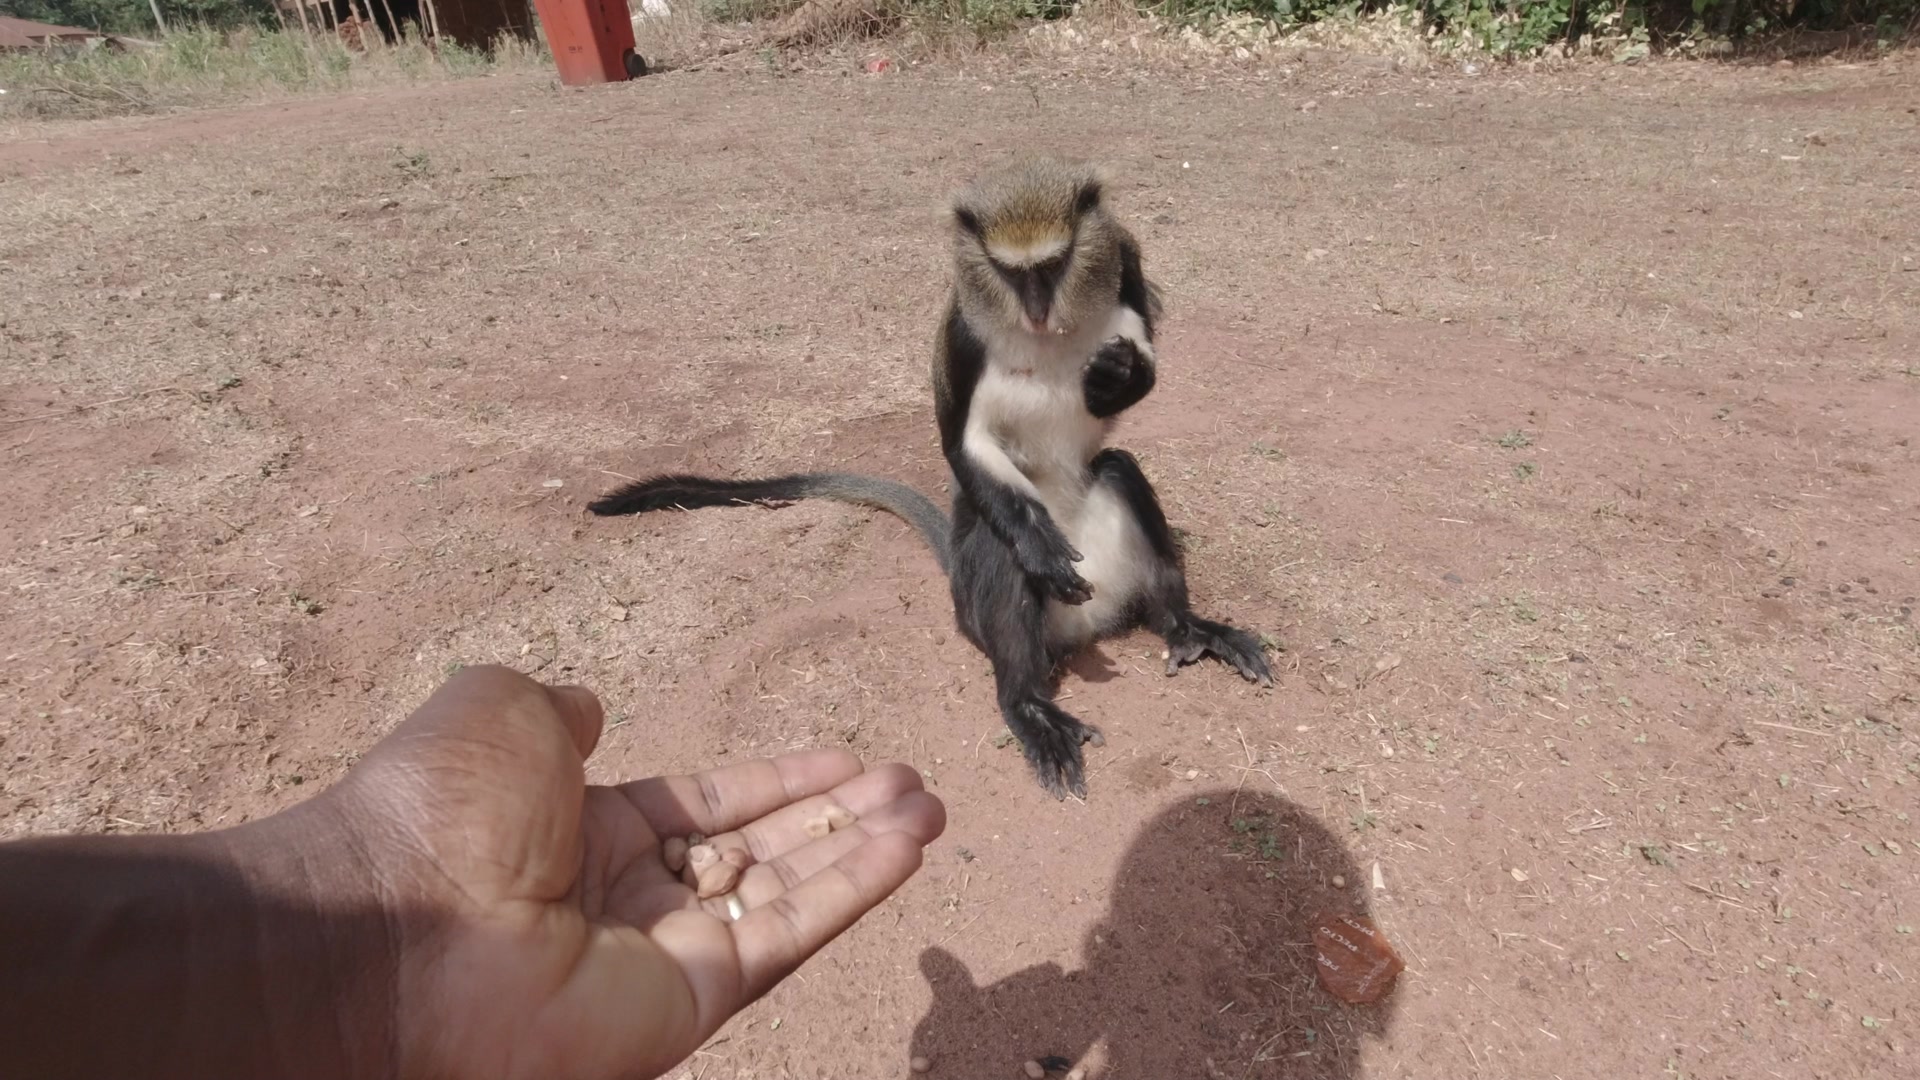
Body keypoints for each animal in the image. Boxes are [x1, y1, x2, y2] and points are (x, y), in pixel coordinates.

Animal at [583, 155, 1274, 795]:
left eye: (1054, 266)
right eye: (1010, 273)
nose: (1037, 308)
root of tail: (1088, 625)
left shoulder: (1124, 270)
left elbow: (1140, 371)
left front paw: (1119, 376)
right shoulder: (962, 336)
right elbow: (963, 442)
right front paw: (1038, 547)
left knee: (1121, 469)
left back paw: (1188, 627)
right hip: (978, 603)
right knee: (1000, 552)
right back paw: (1029, 703)